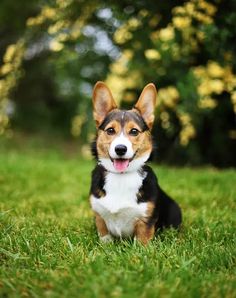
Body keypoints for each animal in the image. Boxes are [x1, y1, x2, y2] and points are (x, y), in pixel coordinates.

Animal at [89, 81, 182, 244]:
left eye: (134, 131)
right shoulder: (99, 216)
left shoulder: (145, 221)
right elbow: (104, 236)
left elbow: (142, 241)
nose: (120, 149)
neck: (121, 176)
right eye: (110, 130)